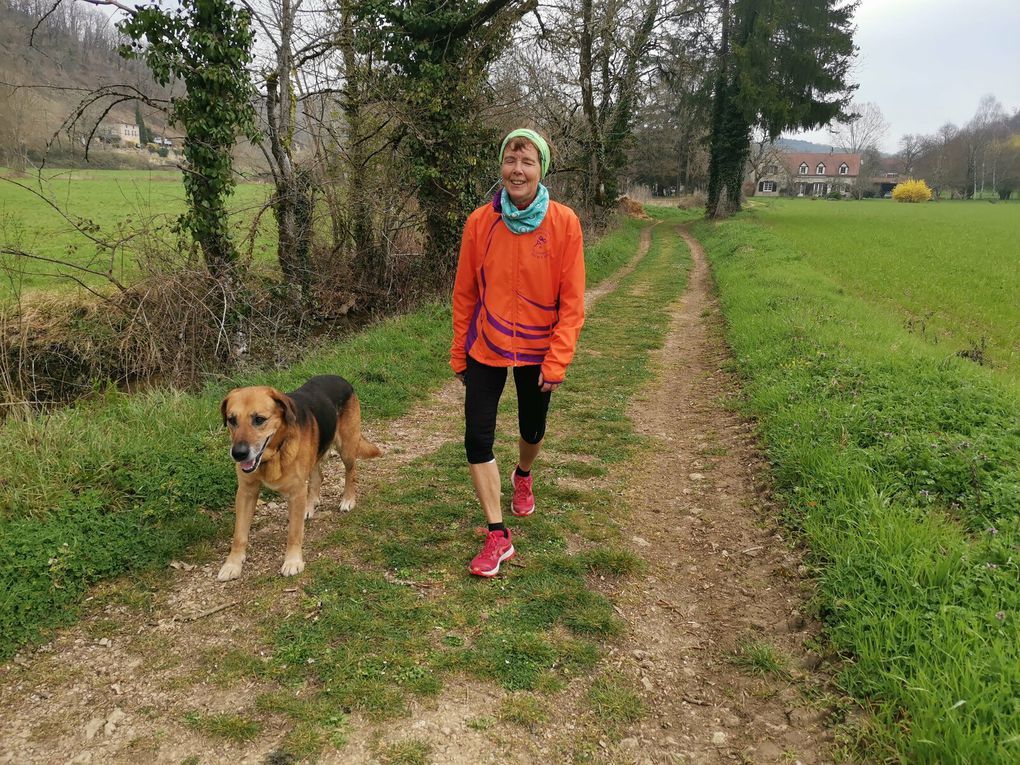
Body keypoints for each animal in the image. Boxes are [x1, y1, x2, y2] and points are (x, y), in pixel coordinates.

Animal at [219, 377, 383, 579]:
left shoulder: (296, 492)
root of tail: (341, 379)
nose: (238, 454)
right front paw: (232, 564)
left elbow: (294, 533)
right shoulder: (246, 492)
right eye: (232, 420)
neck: (275, 452)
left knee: (350, 473)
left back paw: (348, 500)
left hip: (347, 448)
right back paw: (309, 505)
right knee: (318, 477)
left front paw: (292, 561)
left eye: (259, 419)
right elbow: (239, 534)